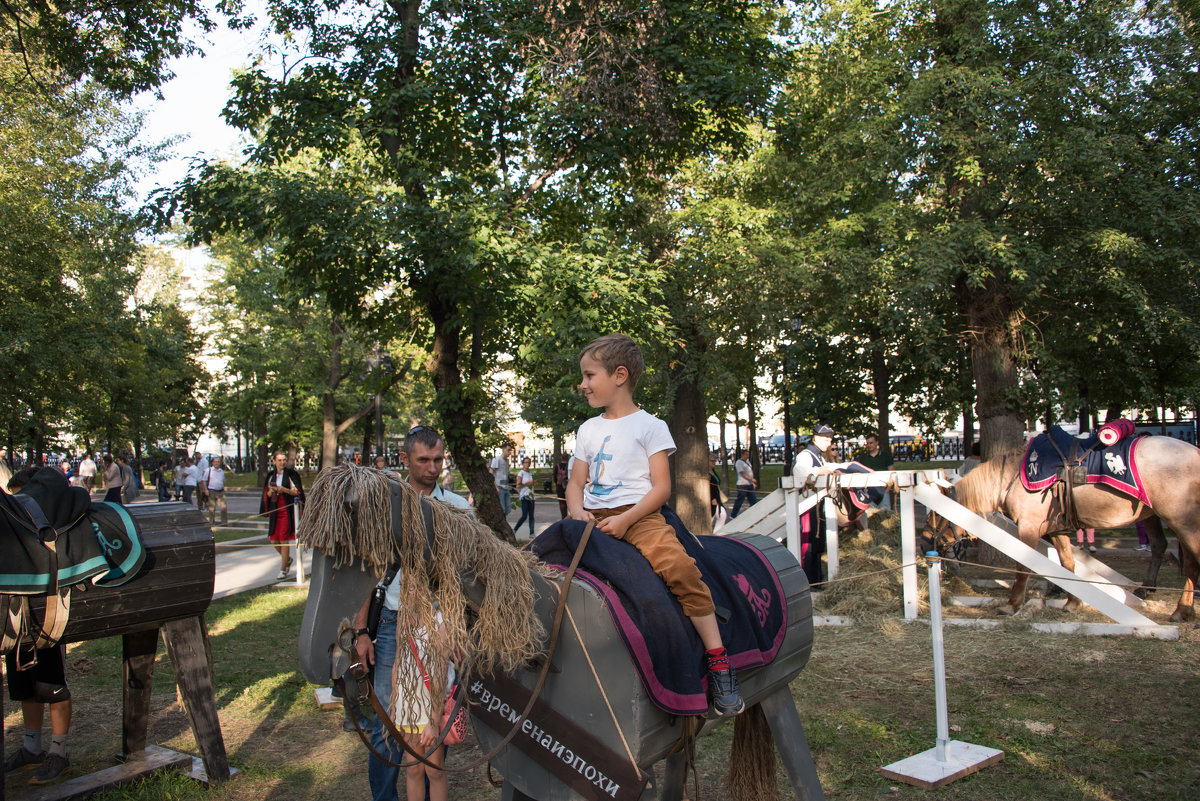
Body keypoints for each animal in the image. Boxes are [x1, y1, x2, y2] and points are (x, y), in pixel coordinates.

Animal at [926, 438, 1200, 618]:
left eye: (936, 514)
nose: (925, 540)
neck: (1014, 475)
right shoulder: (1057, 531)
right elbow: (1068, 565)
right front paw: (1073, 603)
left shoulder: (1028, 528)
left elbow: (1023, 568)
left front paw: (1011, 604)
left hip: (1182, 522)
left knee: (1190, 562)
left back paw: (1182, 609)